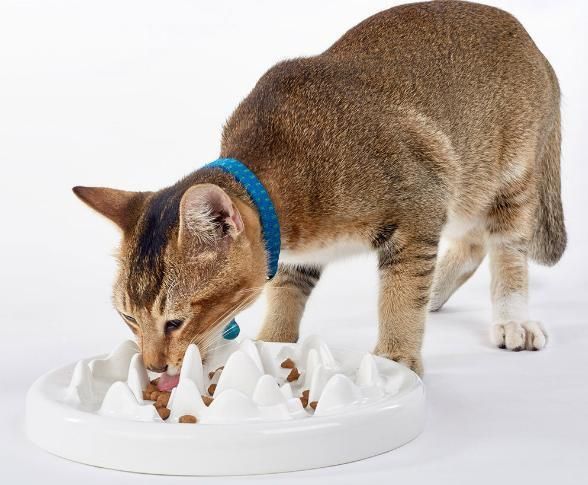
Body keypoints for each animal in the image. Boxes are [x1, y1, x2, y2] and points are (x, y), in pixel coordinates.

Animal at [73, 1, 564, 376]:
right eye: (127, 317)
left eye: (175, 322)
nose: (154, 367)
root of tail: (531, 41)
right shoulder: (296, 252)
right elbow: (287, 292)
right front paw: (272, 344)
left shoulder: (421, 204)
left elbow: (401, 295)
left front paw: (397, 358)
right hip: (466, 183)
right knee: (472, 243)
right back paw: (438, 293)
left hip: (505, 176)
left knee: (505, 246)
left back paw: (512, 319)